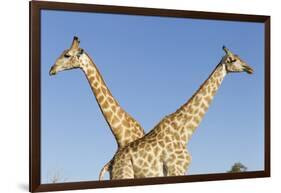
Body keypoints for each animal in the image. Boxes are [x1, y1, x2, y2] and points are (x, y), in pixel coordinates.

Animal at [109, 46, 252, 179]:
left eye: (239, 57)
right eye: (233, 60)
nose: (250, 68)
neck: (185, 132)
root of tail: (111, 163)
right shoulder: (176, 167)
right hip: (124, 173)